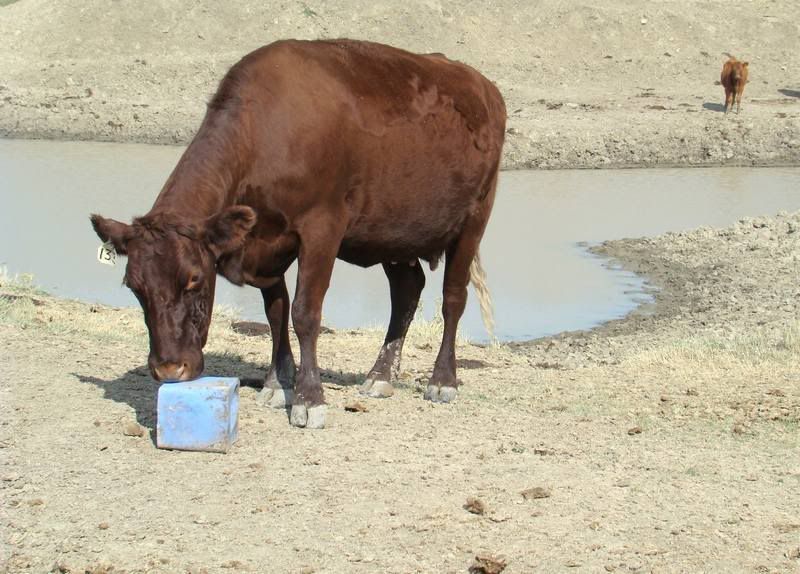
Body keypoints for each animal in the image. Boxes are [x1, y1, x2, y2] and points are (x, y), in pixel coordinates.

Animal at [90, 39, 506, 428]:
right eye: (134, 286)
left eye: (194, 279)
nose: (169, 369)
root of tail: (483, 85)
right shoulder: (264, 244)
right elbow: (276, 310)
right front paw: (277, 384)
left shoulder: (323, 227)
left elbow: (305, 312)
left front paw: (309, 399)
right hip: (394, 230)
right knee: (406, 290)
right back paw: (380, 376)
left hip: (475, 218)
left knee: (453, 298)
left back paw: (442, 380)